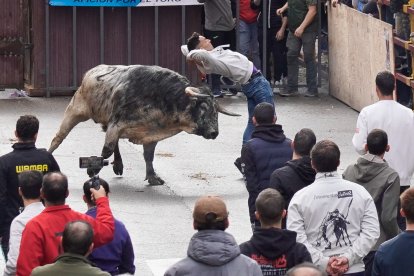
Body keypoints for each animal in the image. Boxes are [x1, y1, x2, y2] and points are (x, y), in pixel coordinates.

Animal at [47, 64, 239, 185]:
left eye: (216, 111)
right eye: (203, 107)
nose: (214, 133)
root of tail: (91, 72)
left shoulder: (150, 134)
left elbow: (148, 156)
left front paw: (152, 177)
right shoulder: (116, 125)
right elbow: (106, 150)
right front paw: (93, 170)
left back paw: (118, 165)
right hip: (75, 110)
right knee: (58, 137)